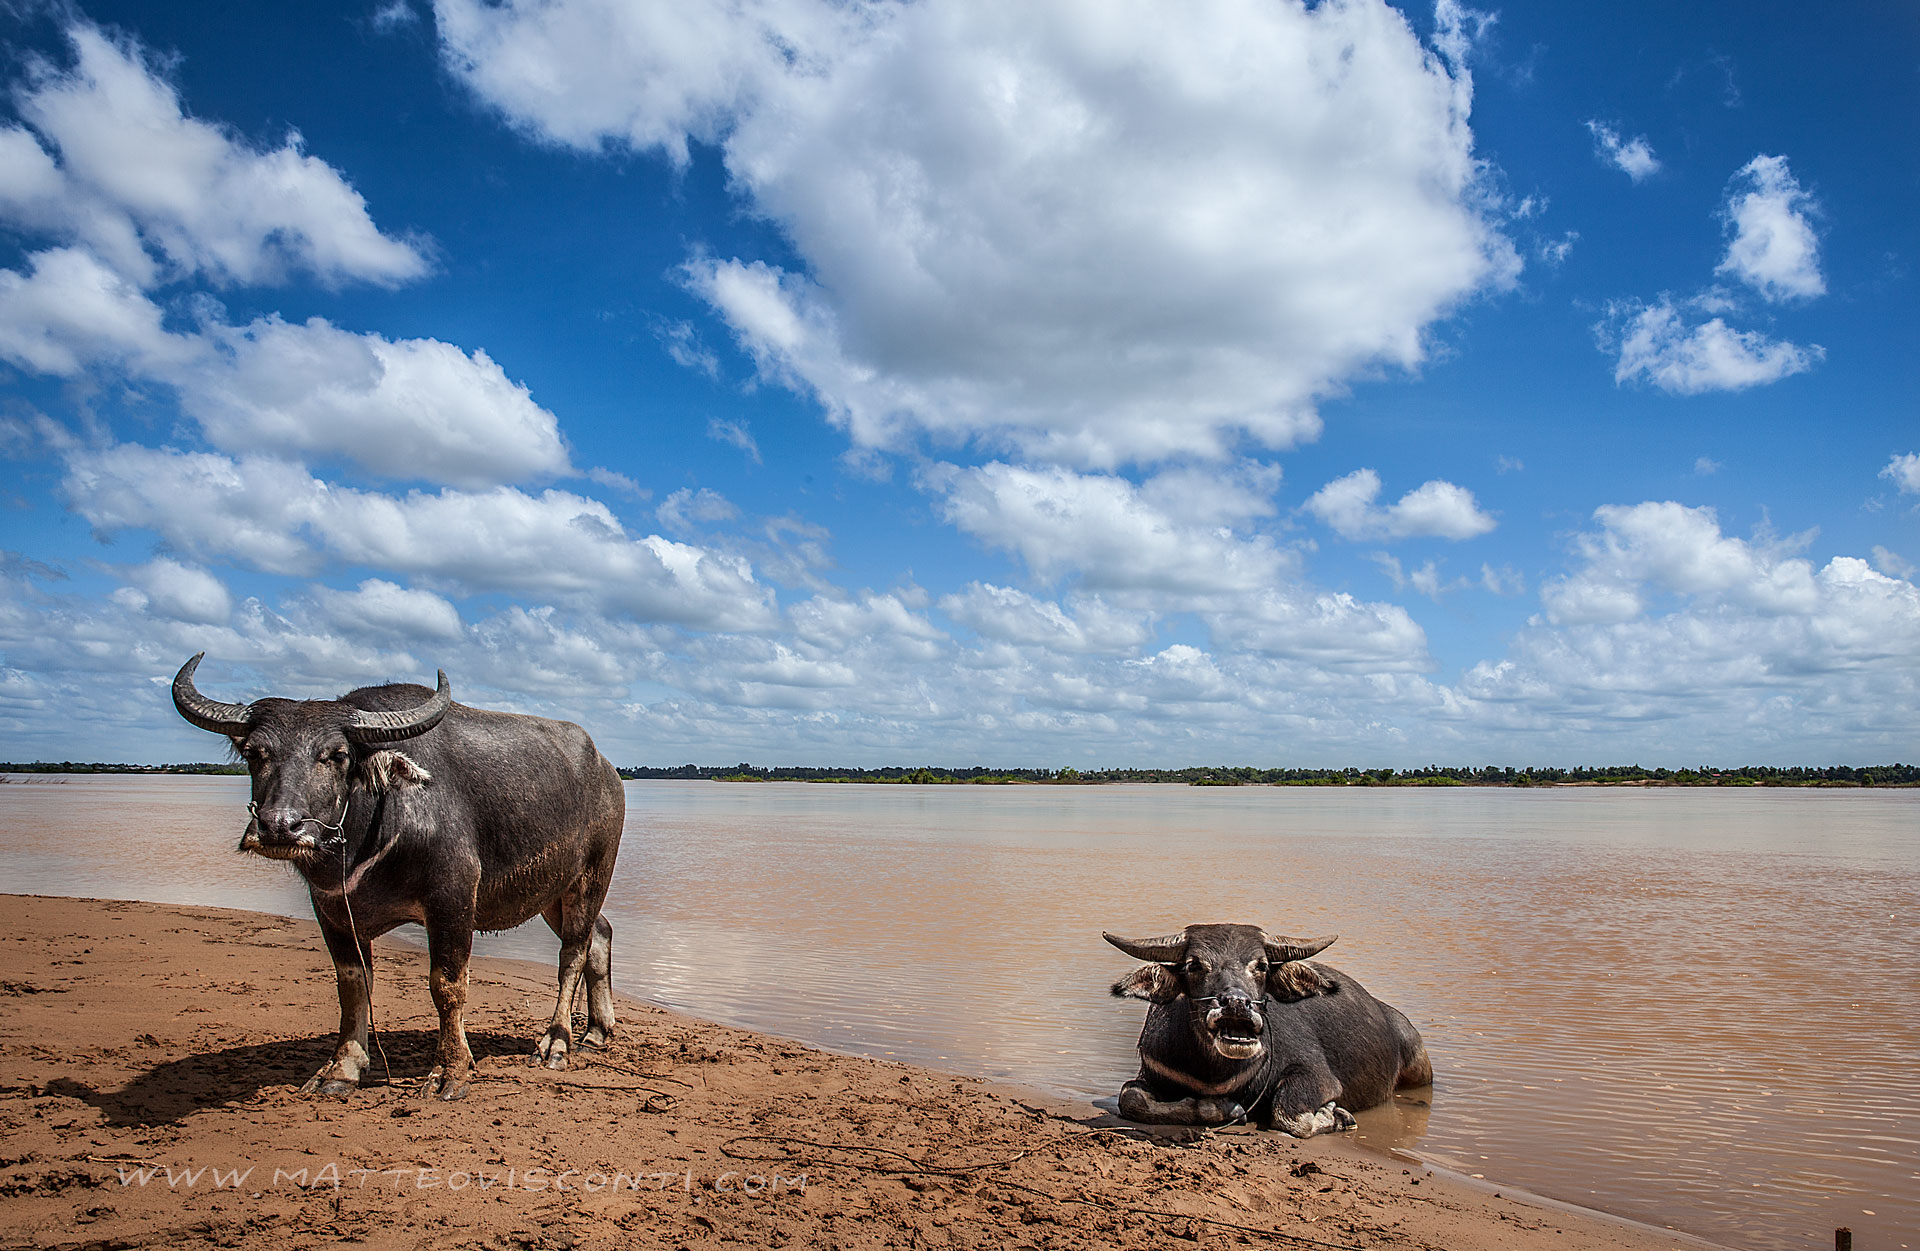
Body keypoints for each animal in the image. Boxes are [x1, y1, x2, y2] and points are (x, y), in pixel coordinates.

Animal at [172, 653, 625, 1101]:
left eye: (336, 754)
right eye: (255, 753)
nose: (280, 826)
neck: (372, 832)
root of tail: (609, 773)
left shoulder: (452, 899)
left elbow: (447, 985)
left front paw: (450, 1070)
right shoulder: (331, 910)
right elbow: (353, 985)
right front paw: (342, 1068)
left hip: (591, 878)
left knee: (572, 952)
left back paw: (557, 1042)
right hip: (550, 893)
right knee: (599, 933)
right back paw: (597, 1030)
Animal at [1106, 923, 1430, 1135]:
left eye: (1260, 965)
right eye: (1194, 965)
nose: (1237, 1004)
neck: (1215, 1073)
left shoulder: (1319, 1077)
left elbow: (1288, 1114)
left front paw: (1335, 1115)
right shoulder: (1153, 1071)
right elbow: (1131, 1099)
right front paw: (1221, 1110)